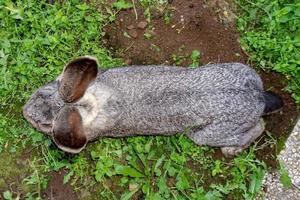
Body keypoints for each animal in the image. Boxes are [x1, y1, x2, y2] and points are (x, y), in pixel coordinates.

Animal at [23, 55, 284, 157]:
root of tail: (258, 98)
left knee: (258, 127)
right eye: (43, 91)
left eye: (44, 125)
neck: (91, 104)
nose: (25, 111)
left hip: (208, 135)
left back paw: (232, 150)